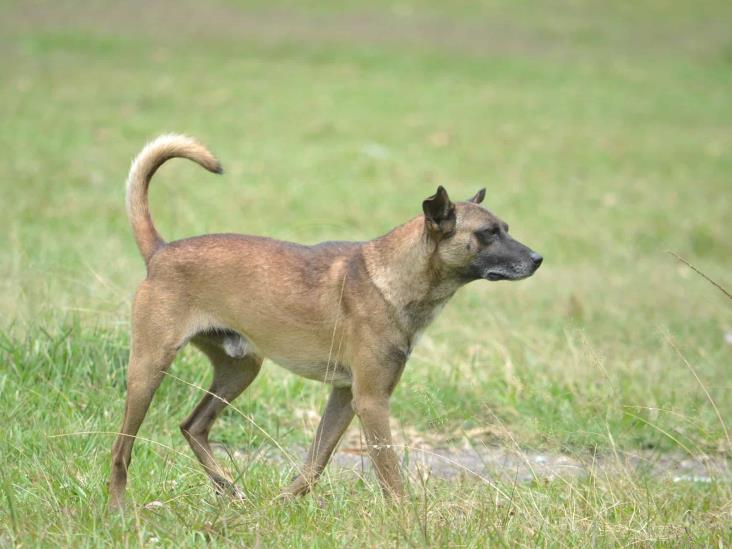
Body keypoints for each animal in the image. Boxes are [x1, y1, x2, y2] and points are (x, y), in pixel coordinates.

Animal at [108, 135, 544, 508]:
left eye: (505, 228)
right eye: (488, 233)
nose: (538, 259)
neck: (392, 276)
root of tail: (161, 252)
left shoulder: (345, 396)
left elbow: (315, 463)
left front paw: (281, 505)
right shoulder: (371, 401)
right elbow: (390, 476)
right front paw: (405, 519)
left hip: (241, 368)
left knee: (193, 426)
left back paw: (229, 490)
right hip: (149, 369)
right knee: (121, 450)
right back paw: (119, 510)